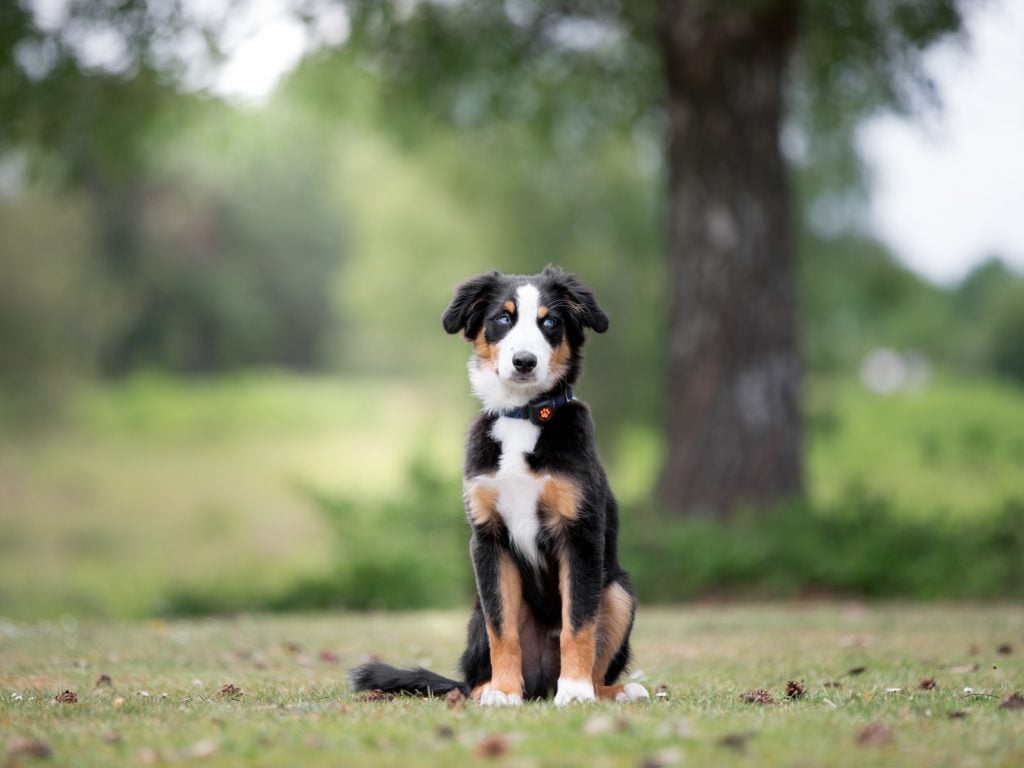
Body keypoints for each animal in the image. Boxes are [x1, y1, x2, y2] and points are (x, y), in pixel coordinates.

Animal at [348, 268, 643, 708]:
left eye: (550, 322)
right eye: (503, 318)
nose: (525, 361)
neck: (522, 416)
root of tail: (541, 685)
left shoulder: (580, 535)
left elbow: (578, 624)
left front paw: (575, 692)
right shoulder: (489, 539)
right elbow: (502, 627)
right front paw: (504, 692)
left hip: (618, 591)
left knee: (597, 658)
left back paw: (613, 689)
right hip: (476, 612)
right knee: (472, 676)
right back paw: (490, 688)